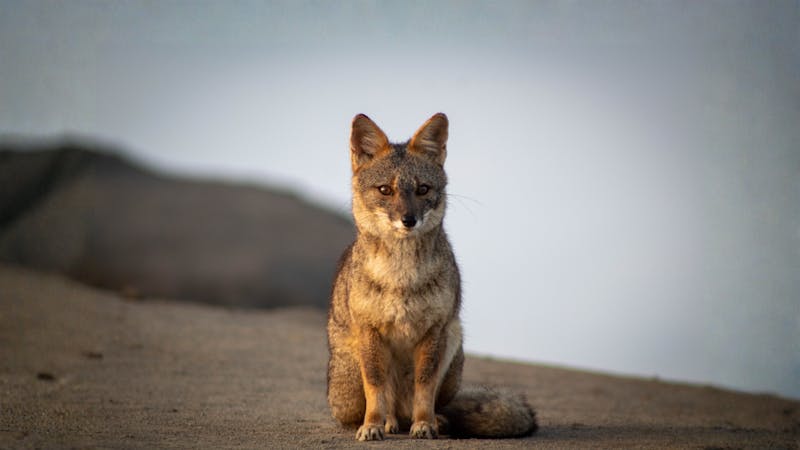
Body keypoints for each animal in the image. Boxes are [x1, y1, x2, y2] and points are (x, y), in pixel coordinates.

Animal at [326, 113, 538, 440]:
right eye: (385, 190)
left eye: (423, 189)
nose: (408, 220)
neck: (401, 276)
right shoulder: (370, 330)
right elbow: (376, 387)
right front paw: (372, 425)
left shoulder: (434, 330)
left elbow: (424, 386)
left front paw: (424, 423)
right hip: (348, 384)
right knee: (382, 406)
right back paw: (388, 422)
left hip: (453, 337)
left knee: (433, 405)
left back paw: (433, 420)